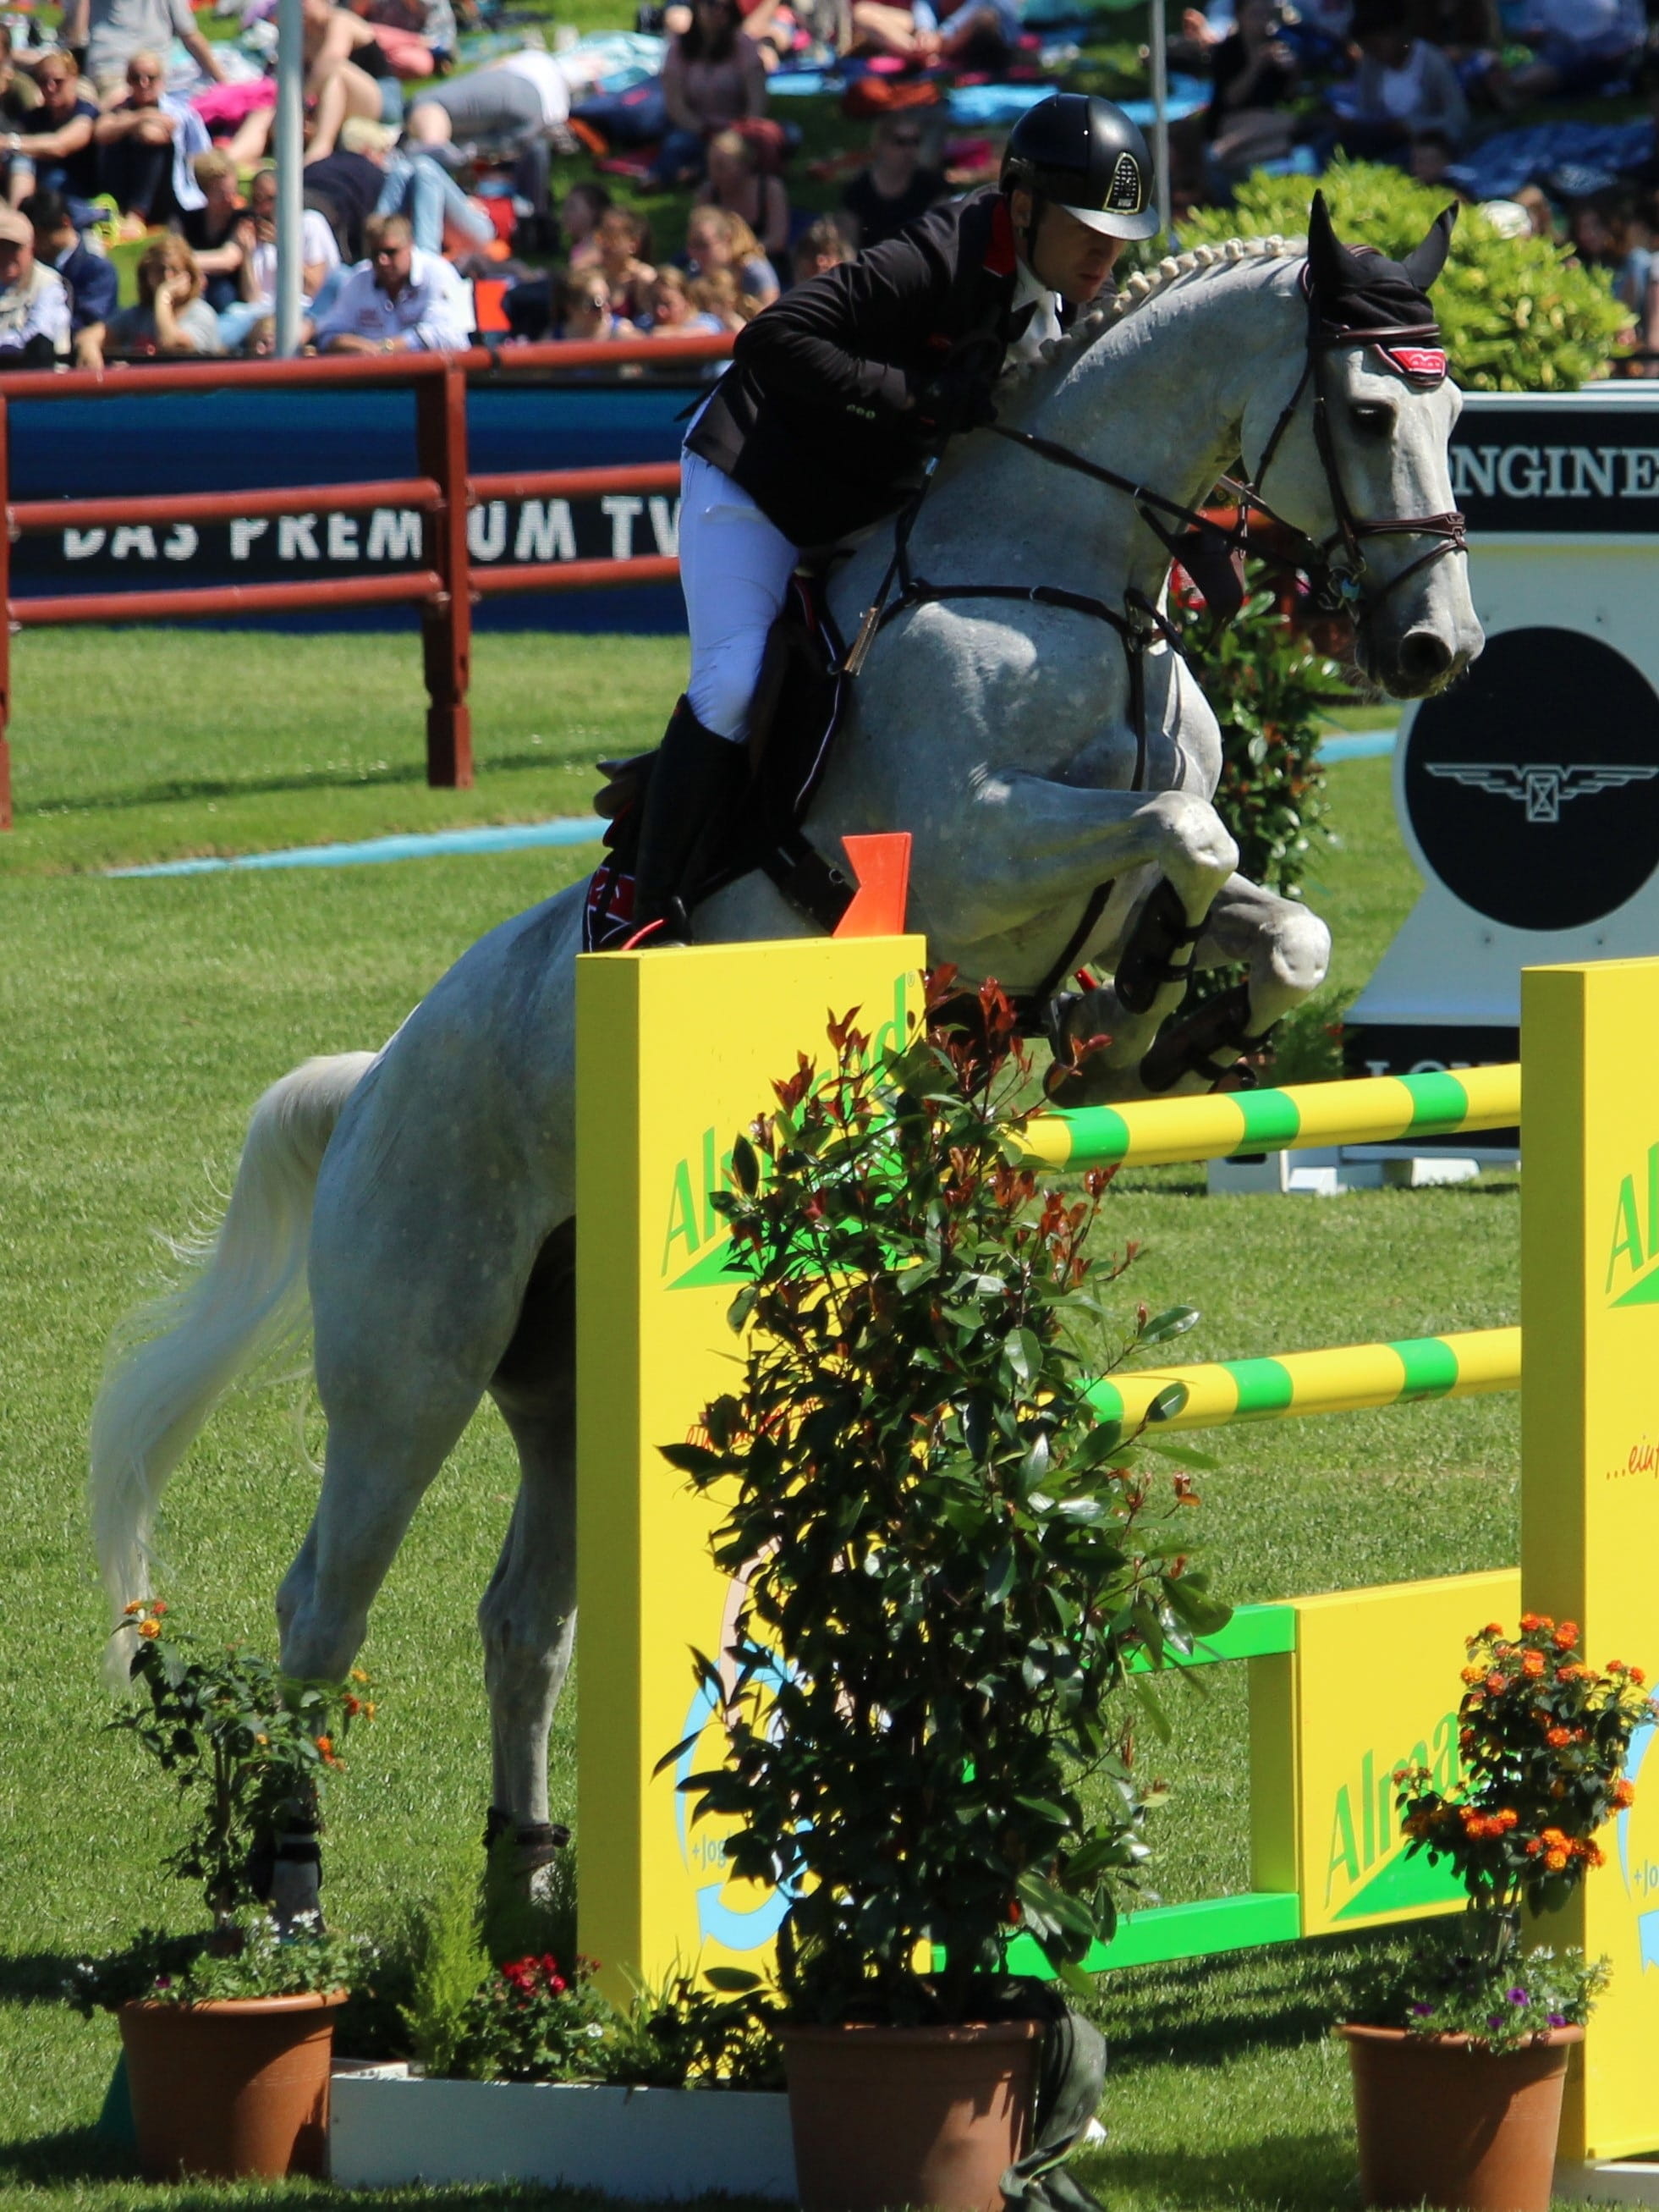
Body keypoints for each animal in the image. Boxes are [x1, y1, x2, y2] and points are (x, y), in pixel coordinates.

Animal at [89, 198, 1483, 1908]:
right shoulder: (969, 848)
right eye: (1362, 412)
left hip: (565, 1380)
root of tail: (368, 1092)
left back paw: (527, 1878)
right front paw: (1126, 1018)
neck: (1068, 586)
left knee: (522, 1612)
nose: (1432, 650)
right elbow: (1189, 828)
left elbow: (1267, 917)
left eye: (1457, 417)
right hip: (412, 1358)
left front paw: (1144, 1029)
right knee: (322, 1602)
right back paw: (290, 1887)